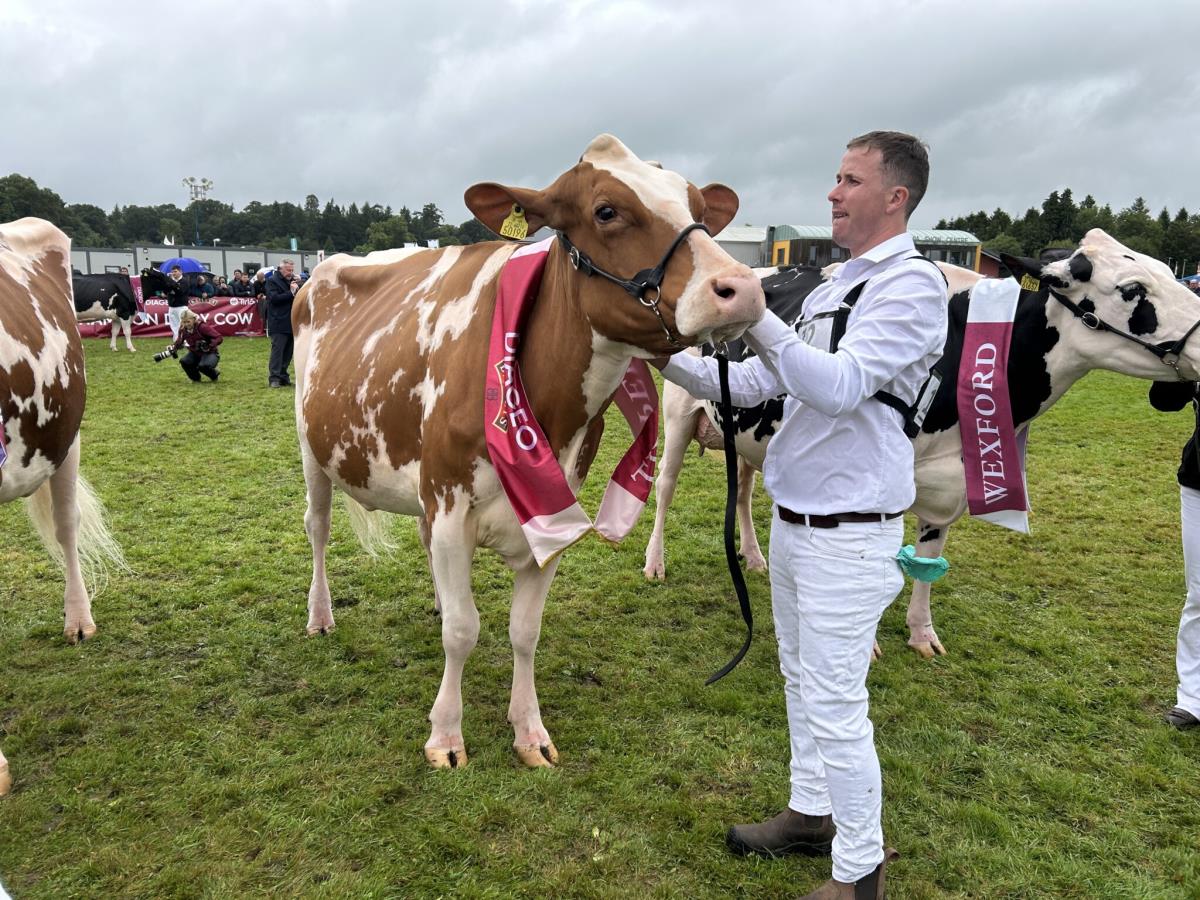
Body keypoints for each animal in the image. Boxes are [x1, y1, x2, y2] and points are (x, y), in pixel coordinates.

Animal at [291, 137, 763, 772]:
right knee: (317, 528)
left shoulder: (553, 512)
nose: (744, 288)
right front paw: (446, 736)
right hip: (311, 448)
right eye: (606, 210)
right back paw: (321, 616)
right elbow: (464, 631)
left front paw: (529, 731)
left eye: (699, 209)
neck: (543, 401)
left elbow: (524, 631)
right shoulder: (449, 502)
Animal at [643, 229, 1200, 657]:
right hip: (679, 416)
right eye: (1133, 288)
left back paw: (755, 559)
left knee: (741, 491)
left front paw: (921, 634)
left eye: (1169, 272)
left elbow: (928, 564)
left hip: (746, 435)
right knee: (665, 487)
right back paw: (655, 563)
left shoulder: (949, 482)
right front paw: (865, 643)